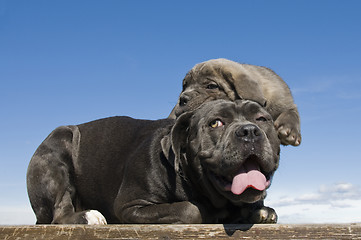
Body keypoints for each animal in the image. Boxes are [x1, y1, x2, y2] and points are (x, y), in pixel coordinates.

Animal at [27, 99, 282, 223]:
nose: (249, 131)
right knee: (60, 213)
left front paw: (259, 211)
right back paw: (88, 216)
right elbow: (190, 209)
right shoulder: (131, 206)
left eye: (262, 119)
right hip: (58, 146)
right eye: (216, 123)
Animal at [169, 59, 300, 147]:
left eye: (211, 86)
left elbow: (291, 113)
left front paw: (289, 130)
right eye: (184, 86)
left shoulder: (284, 101)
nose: (182, 99)